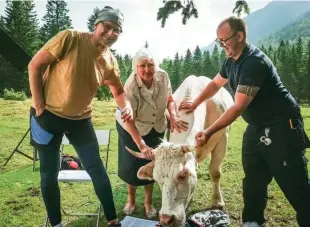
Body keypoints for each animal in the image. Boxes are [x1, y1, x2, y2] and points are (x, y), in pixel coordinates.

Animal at [125, 75, 232, 226]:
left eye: (182, 175)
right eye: (156, 178)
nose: (166, 219)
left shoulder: (222, 140)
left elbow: (215, 172)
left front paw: (217, 202)